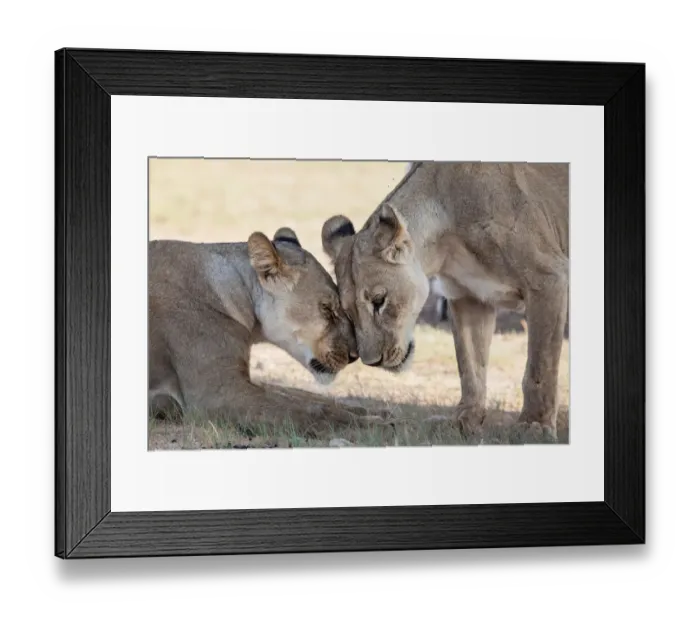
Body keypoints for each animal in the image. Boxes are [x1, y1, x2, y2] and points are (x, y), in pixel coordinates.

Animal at [149, 227, 381, 435]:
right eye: (326, 308)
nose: (354, 355)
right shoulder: (219, 394)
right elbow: (301, 411)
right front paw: (371, 424)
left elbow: (301, 396)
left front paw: (372, 412)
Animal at [322, 162, 569, 441]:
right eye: (349, 313)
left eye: (379, 301)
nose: (372, 362)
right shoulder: (468, 297)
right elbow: (470, 366)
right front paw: (465, 419)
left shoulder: (548, 278)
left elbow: (540, 366)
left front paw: (534, 425)